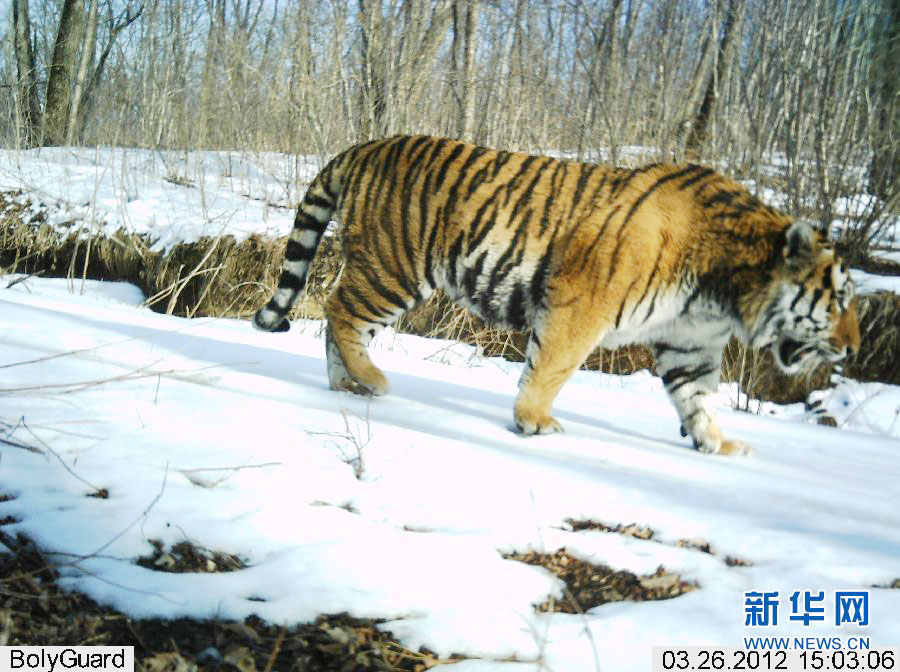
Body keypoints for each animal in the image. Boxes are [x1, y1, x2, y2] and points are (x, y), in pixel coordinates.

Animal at [253, 135, 860, 456]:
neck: (727, 291)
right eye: (840, 301)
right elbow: (553, 366)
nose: (854, 348)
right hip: (396, 267)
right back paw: (371, 380)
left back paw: (347, 386)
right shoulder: (582, 302)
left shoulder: (687, 342)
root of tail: (368, 143)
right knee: (340, 310)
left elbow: (698, 399)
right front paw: (534, 420)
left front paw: (719, 444)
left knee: (337, 318)